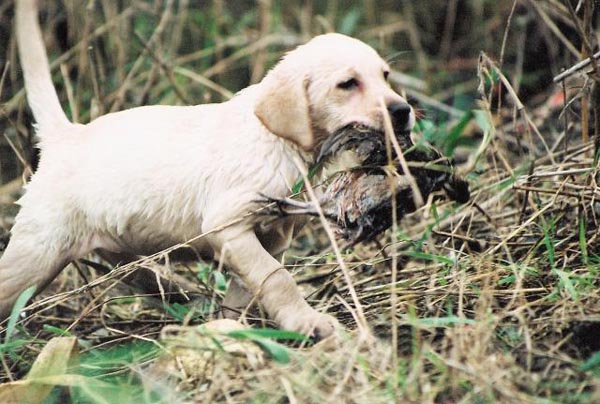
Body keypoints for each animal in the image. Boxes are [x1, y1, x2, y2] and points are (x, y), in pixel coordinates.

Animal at [3, 1, 418, 340]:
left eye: (385, 76)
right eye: (347, 84)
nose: (403, 111)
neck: (277, 142)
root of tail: (66, 136)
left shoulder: (270, 238)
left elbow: (249, 288)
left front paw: (233, 328)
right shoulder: (228, 226)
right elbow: (277, 278)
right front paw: (307, 322)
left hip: (116, 247)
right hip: (36, 254)